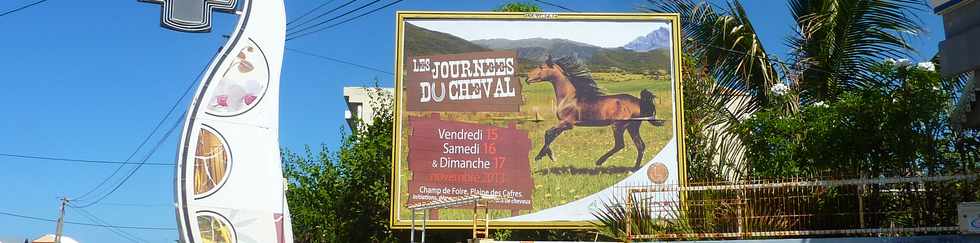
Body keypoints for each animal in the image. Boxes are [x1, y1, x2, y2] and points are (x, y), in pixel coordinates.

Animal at [524, 55, 656, 169]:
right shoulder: (564, 125)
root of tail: (639, 101)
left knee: (620, 144)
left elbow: (548, 133)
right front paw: (548, 155)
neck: (569, 98)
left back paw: (599, 161)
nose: (527, 78)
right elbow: (551, 135)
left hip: (619, 126)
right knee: (640, 145)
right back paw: (635, 168)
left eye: (541, 67)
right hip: (632, 127)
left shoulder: (567, 123)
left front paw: (543, 156)